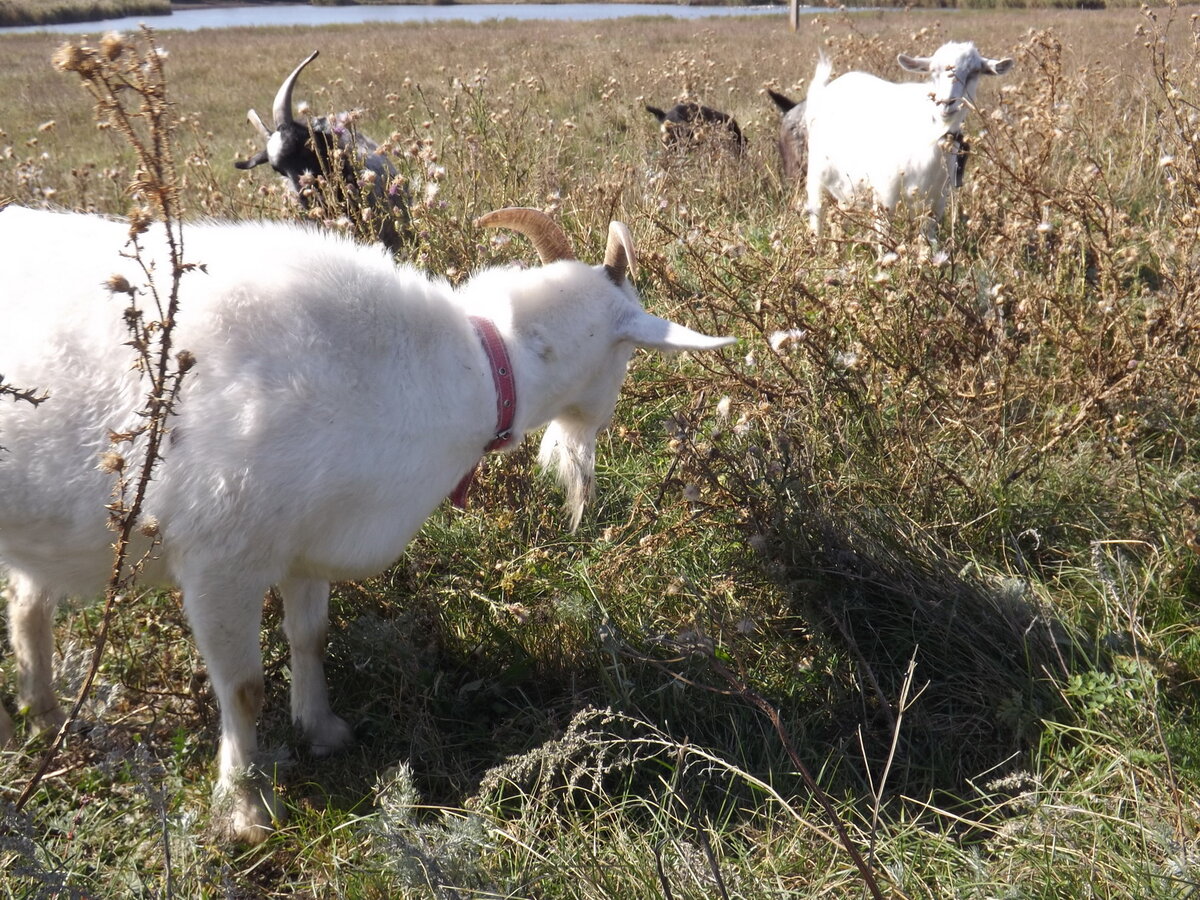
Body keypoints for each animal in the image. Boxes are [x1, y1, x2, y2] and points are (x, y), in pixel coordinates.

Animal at [0, 204, 734, 844]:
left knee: (29, 605)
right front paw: (247, 811)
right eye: (627, 354)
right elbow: (243, 688)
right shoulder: (221, 559)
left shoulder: (307, 547)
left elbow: (310, 636)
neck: (469, 370)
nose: (597, 432)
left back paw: (44, 717)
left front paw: (322, 729)